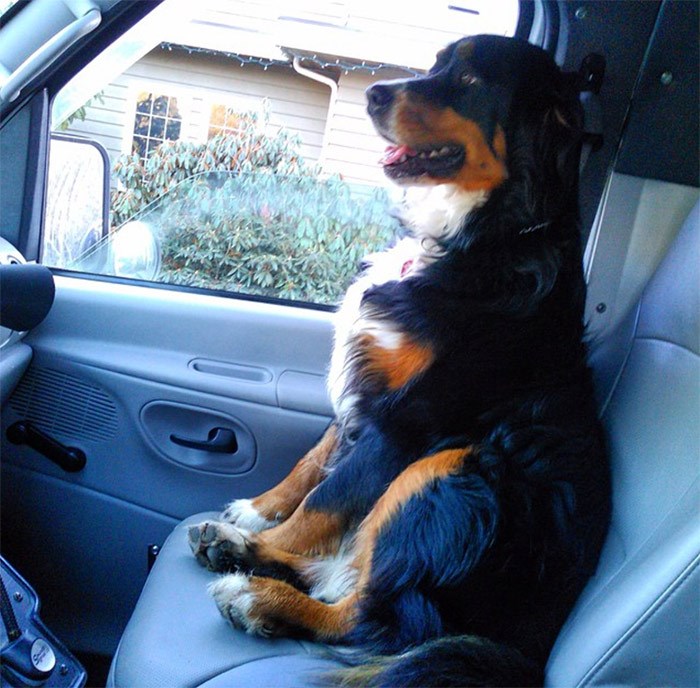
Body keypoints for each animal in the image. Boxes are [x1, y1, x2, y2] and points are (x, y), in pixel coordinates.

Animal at [189, 35, 608, 684]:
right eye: (435, 63)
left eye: (468, 78)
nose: (377, 93)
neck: (481, 240)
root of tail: (528, 653)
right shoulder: (367, 388)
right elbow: (313, 464)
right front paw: (258, 514)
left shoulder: (406, 419)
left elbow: (324, 502)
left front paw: (269, 535)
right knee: (349, 578)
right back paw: (237, 547)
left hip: (450, 468)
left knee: (376, 616)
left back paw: (258, 595)